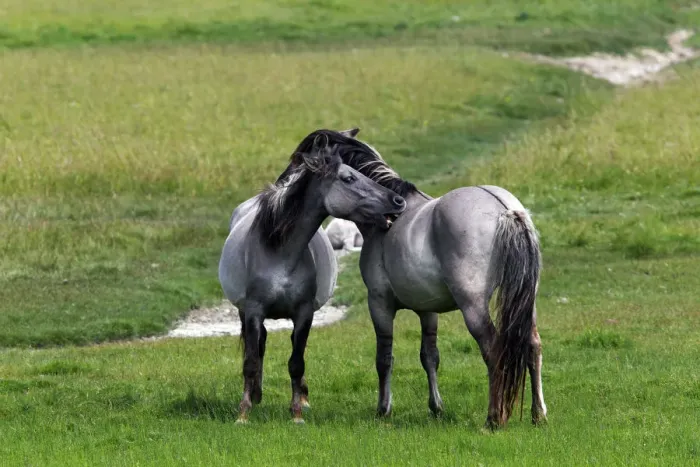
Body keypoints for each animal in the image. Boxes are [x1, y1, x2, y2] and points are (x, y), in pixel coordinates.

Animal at [218, 130, 406, 424]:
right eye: (349, 178)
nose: (398, 201)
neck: (279, 251)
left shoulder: (304, 313)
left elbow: (297, 362)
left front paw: (296, 412)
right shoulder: (253, 311)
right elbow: (250, 360)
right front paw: (244, 412)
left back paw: (300, 399)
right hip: (244, 312)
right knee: (258, 345)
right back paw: (256, 395)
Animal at [319, 128, 546, 430]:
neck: (388, 219)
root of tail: (505, 210)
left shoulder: (379, 303)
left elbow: (384, 358)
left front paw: (384, 409)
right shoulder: (428, 310)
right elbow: (429, 357)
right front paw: (436, 408)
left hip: (473, 307)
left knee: (493, 350)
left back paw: (494, 418)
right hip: (526, 301)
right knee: (532, 345)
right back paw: (538, 414)